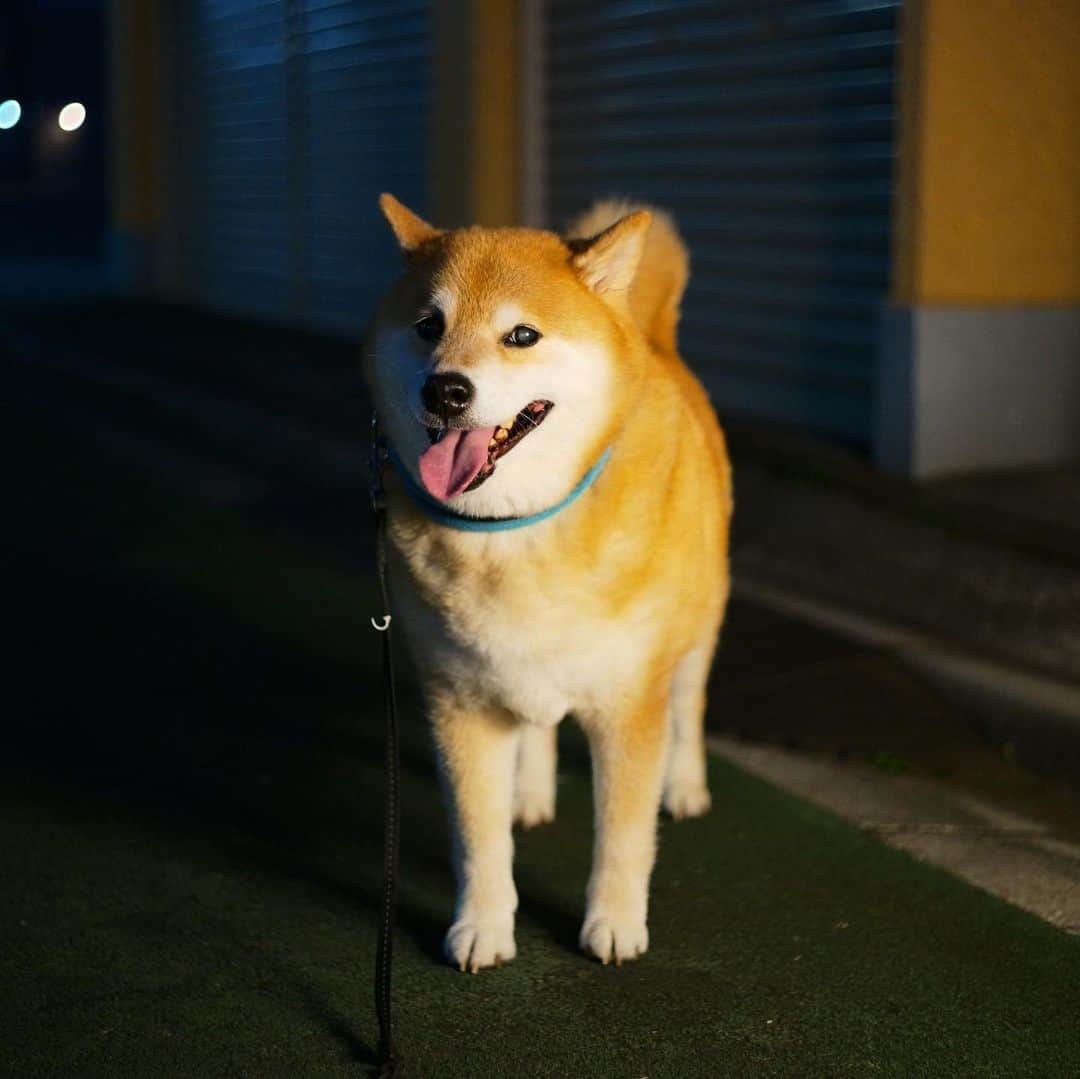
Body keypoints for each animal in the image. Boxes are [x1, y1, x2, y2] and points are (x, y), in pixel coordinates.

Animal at [365, 192, 734, 972]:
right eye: (428, 325)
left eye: (522, 336)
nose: (445, 389)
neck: (514, 530)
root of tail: (656, 338)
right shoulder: (457, 701)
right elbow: (477, 838)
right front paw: (482, 925)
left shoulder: (630, 703)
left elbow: (623, 836)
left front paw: (614, 922)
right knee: (534, 723)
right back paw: (529, 792)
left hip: (697, 629)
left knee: (689, 706)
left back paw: (685, 785)